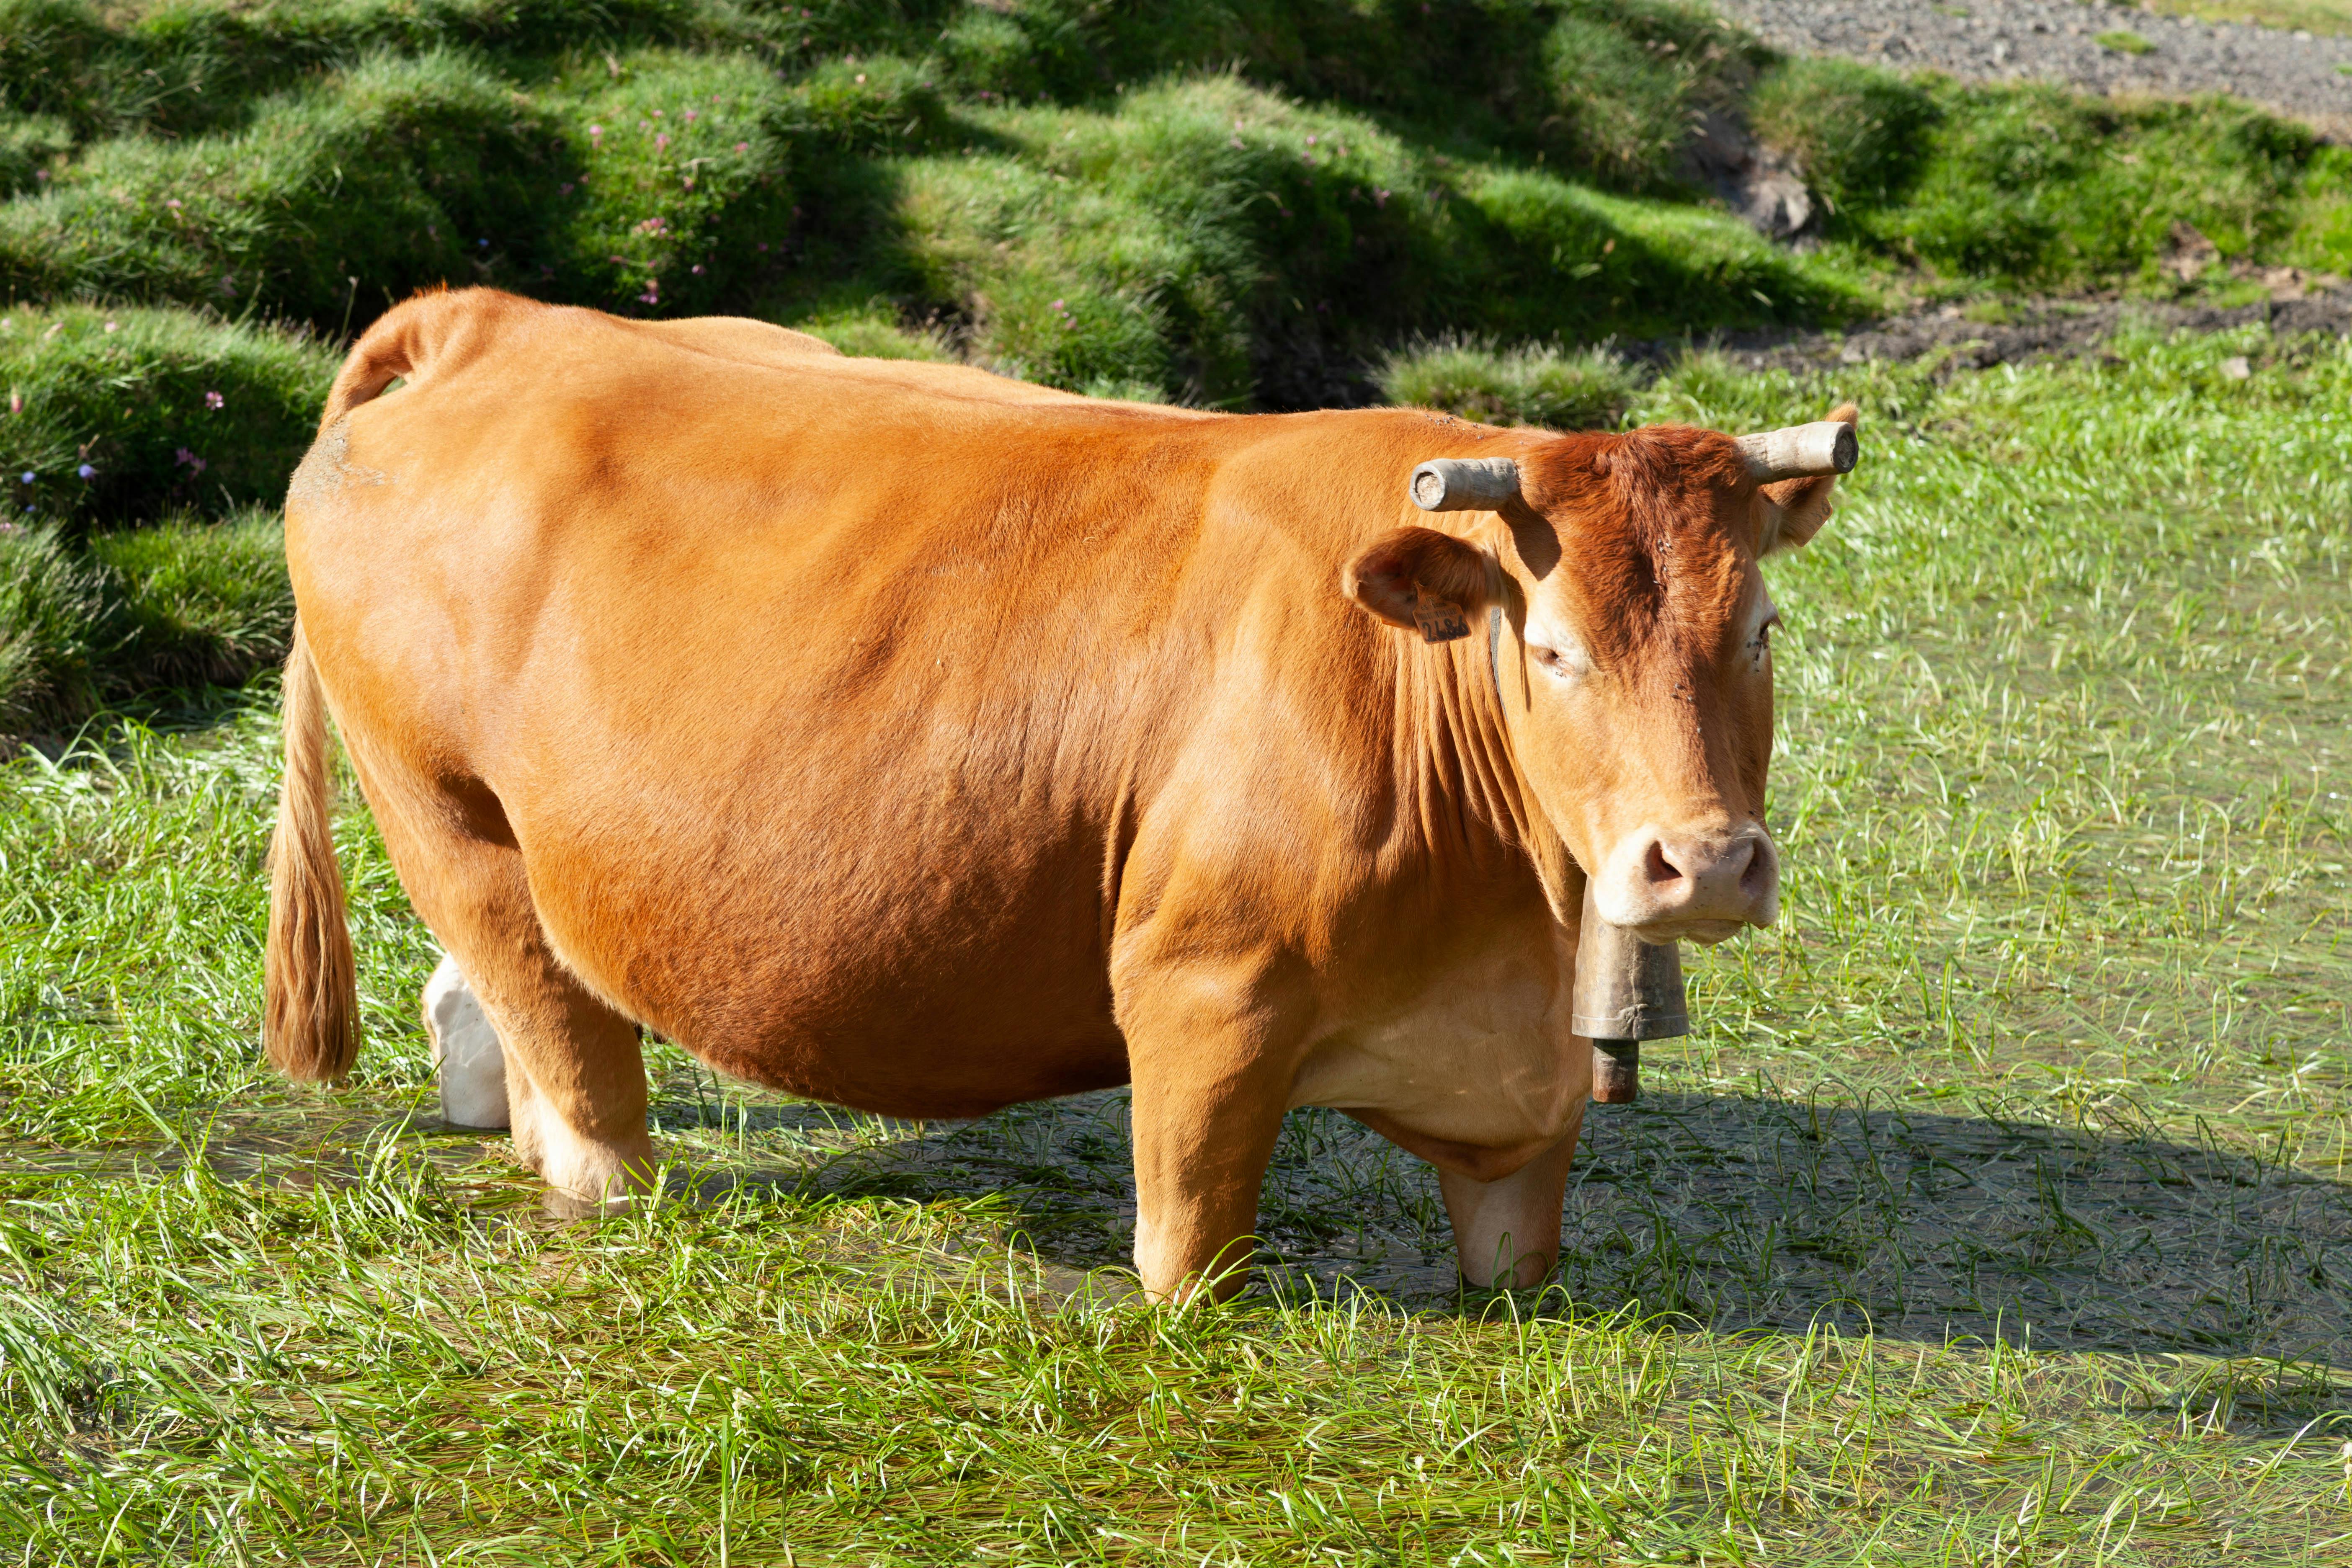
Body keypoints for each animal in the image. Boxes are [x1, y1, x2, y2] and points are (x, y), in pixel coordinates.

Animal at [267, 291, 1853, 1297]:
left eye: (1762, 629)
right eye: (1551, 647)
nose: (1703, 862)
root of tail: (498, 323)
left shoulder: (1521, 1100)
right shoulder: (1204, 997)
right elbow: (1186, 1260)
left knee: (479, 1008)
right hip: (446, 809)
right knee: (578, 1087)